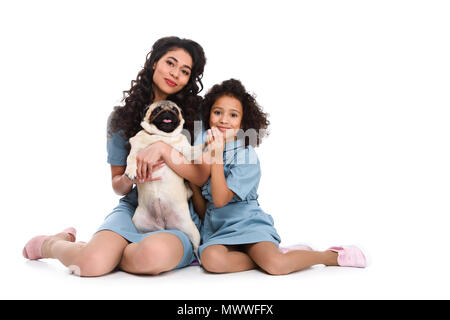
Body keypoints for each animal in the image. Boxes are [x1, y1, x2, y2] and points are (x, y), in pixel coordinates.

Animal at [126, 100, 204, 260]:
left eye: (175, 110)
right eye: (157, 110)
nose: (168, 112)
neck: (161, 137)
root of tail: (164, 226)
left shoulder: (186, 152)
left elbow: (195, 149)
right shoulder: (136, 151)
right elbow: (130, 158)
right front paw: (130, 171)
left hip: (193, 232)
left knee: (195, 246)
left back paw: (198, 258)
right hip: (138, 223)